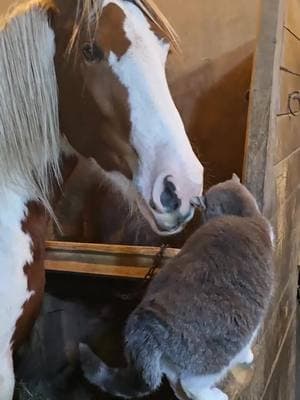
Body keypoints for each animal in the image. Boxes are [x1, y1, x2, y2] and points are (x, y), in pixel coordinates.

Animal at [79, 175, 274, 400]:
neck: (242, 216)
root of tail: (145, 321)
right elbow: (249, 341)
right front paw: (247, 355)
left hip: (170, 361)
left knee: (173, 378)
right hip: (216, 354)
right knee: (192, 383)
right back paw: (214, 395)